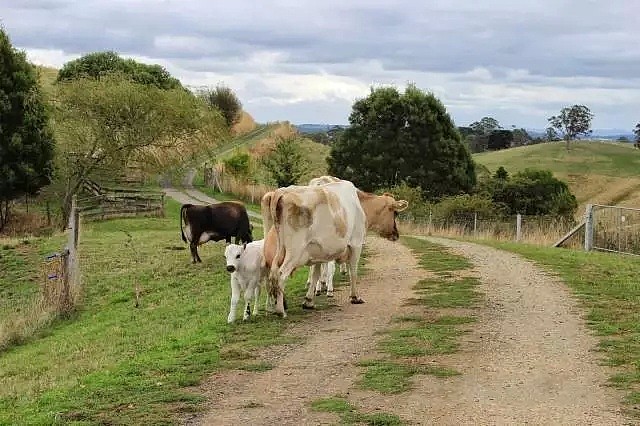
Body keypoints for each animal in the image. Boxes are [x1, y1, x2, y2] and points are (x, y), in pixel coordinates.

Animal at [262, 176, 408, 316]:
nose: (396, 234)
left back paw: (272, 307)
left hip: (278, 250)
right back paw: (280, 310)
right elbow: (353, 271)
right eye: (395, 213)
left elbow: (315, 274)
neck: (359, 203)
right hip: (294, 251)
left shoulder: (317, 250)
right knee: (281, 274)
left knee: (272, 275)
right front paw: (355, 297)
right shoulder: (356, 243)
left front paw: (309, 301)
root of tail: (280, 192)